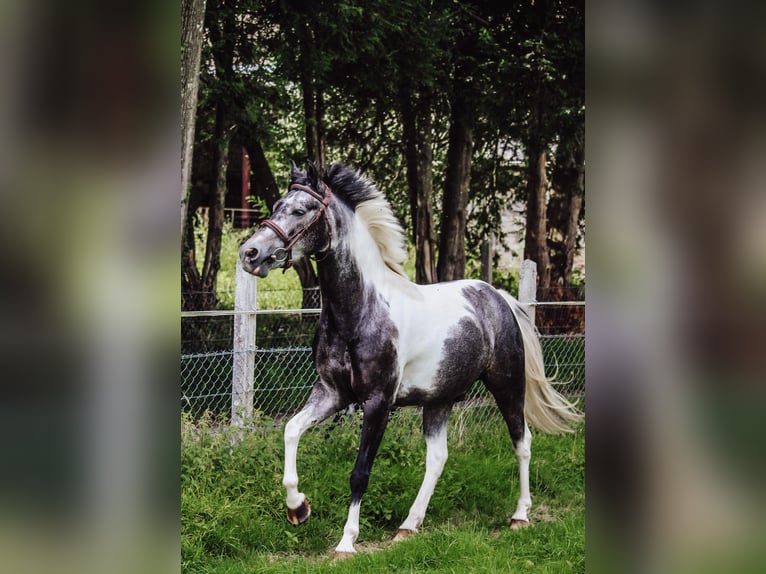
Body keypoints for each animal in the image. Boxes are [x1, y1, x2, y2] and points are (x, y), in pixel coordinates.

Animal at [240, 161, 584, 560]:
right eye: (277, 204)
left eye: (300, 210)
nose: (250, 253)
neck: (360, 312)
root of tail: (497, 296)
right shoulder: (331, 393)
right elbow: (291, 430)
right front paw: (298, 508)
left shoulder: (377, 402)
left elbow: (360, 472)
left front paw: (346, 542)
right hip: (439, 399)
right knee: (437, 458)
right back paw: (408, 526)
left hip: (507, 384)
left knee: (522, 441)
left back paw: (520, 516)